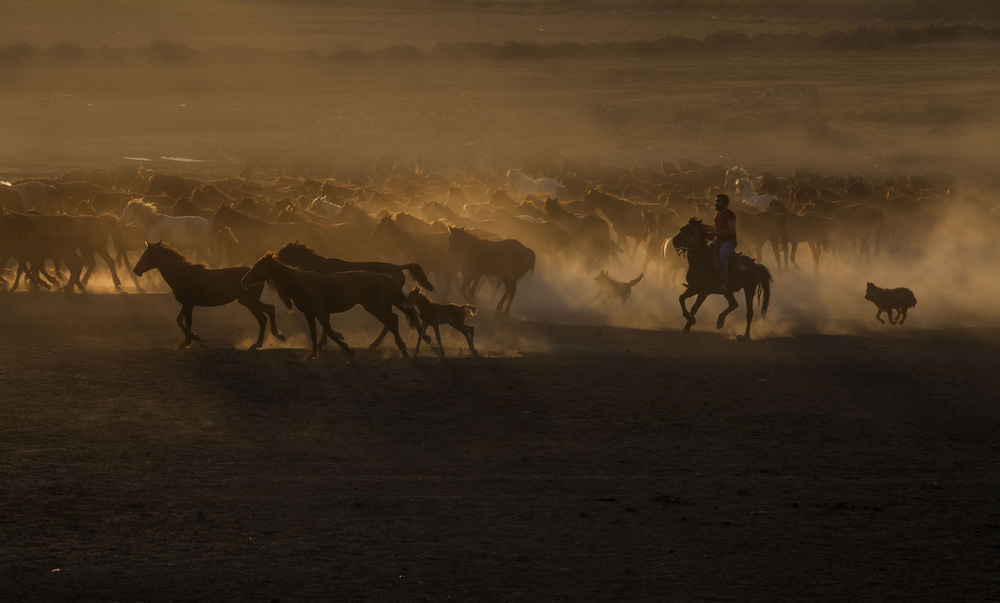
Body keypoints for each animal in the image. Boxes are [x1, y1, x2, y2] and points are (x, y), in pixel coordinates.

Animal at [131, 241, 284, 352]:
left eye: (145, 255)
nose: (135, 270)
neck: (182, 274)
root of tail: (260, 277)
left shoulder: (188, 304)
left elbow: (182, 322)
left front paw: (194, 338)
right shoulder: (188, 305)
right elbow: (183, 321)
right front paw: (186, 342)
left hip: (248, 301)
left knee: (262, 318)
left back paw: (257, 344)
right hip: (249, 301)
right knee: (270, 309)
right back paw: (277, 335)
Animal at [242, 252, 418, 360]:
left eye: (258, 267)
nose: (243, 281)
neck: (301, 283)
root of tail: (379, 276)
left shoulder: (322, 313)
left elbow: (331, 333)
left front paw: (349, 349)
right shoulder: (309, 313)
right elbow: (314, 334)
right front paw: (313, 355)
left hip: (374, 306)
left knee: (391, 320)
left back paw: (402, 349)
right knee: (392, 319)